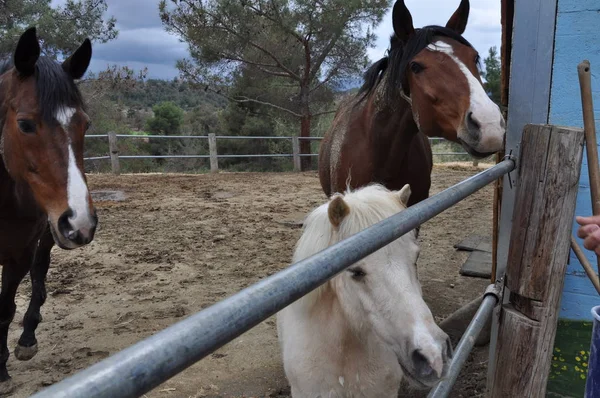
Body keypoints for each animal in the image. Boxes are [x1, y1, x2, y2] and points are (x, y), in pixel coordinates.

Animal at [0, 28, 97, 392]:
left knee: (39, 274)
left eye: (85, 124)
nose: (81, 222)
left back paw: (27, 338)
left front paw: (1, 368)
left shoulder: (17, 256)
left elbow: (5, 309)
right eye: (25, 124)